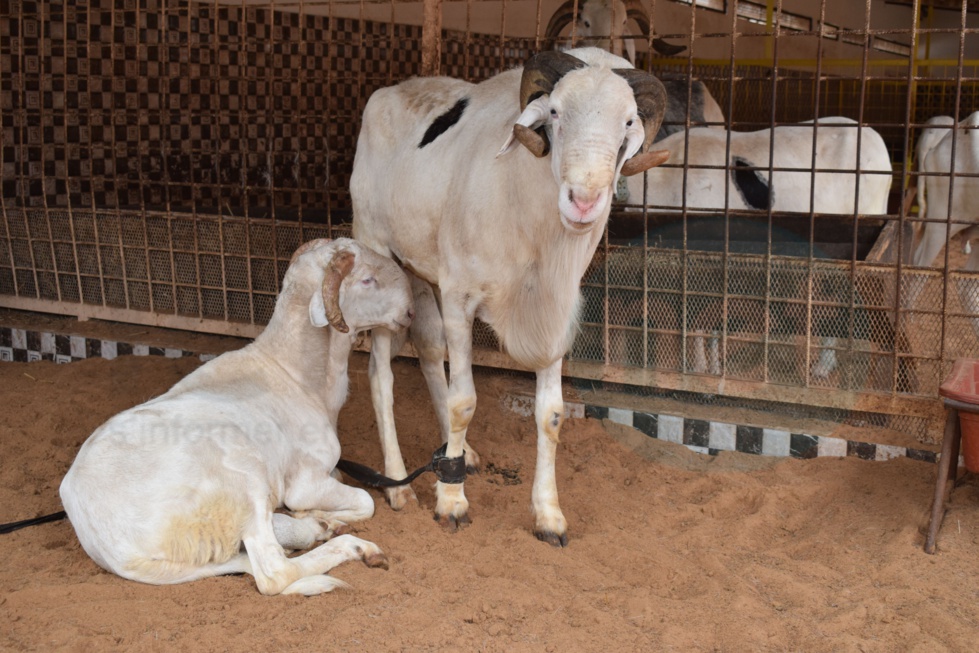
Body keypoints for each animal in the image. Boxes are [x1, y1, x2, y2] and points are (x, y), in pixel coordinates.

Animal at [58, 238, 415, 596]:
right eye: (367, 279)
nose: (411, 312)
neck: (297, 375)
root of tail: (117, 550)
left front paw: (314, 517)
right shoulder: (305, 480)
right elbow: (364, 502)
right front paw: (315, 514)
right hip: (243, 480)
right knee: (273, 573)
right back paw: (354, 546)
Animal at [350, 47, 669, 546]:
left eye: (629, 122)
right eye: (555, 113)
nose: (584, 201)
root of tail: (391, 91)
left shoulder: (553, 311)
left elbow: (551, 415)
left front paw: (548, 515)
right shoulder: (461, 298)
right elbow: (464, 401)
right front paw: (452, 502)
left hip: (424, 273)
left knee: (429, 352)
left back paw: (460, 455)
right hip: (380, 256)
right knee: (381, 377)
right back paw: (399, 486)